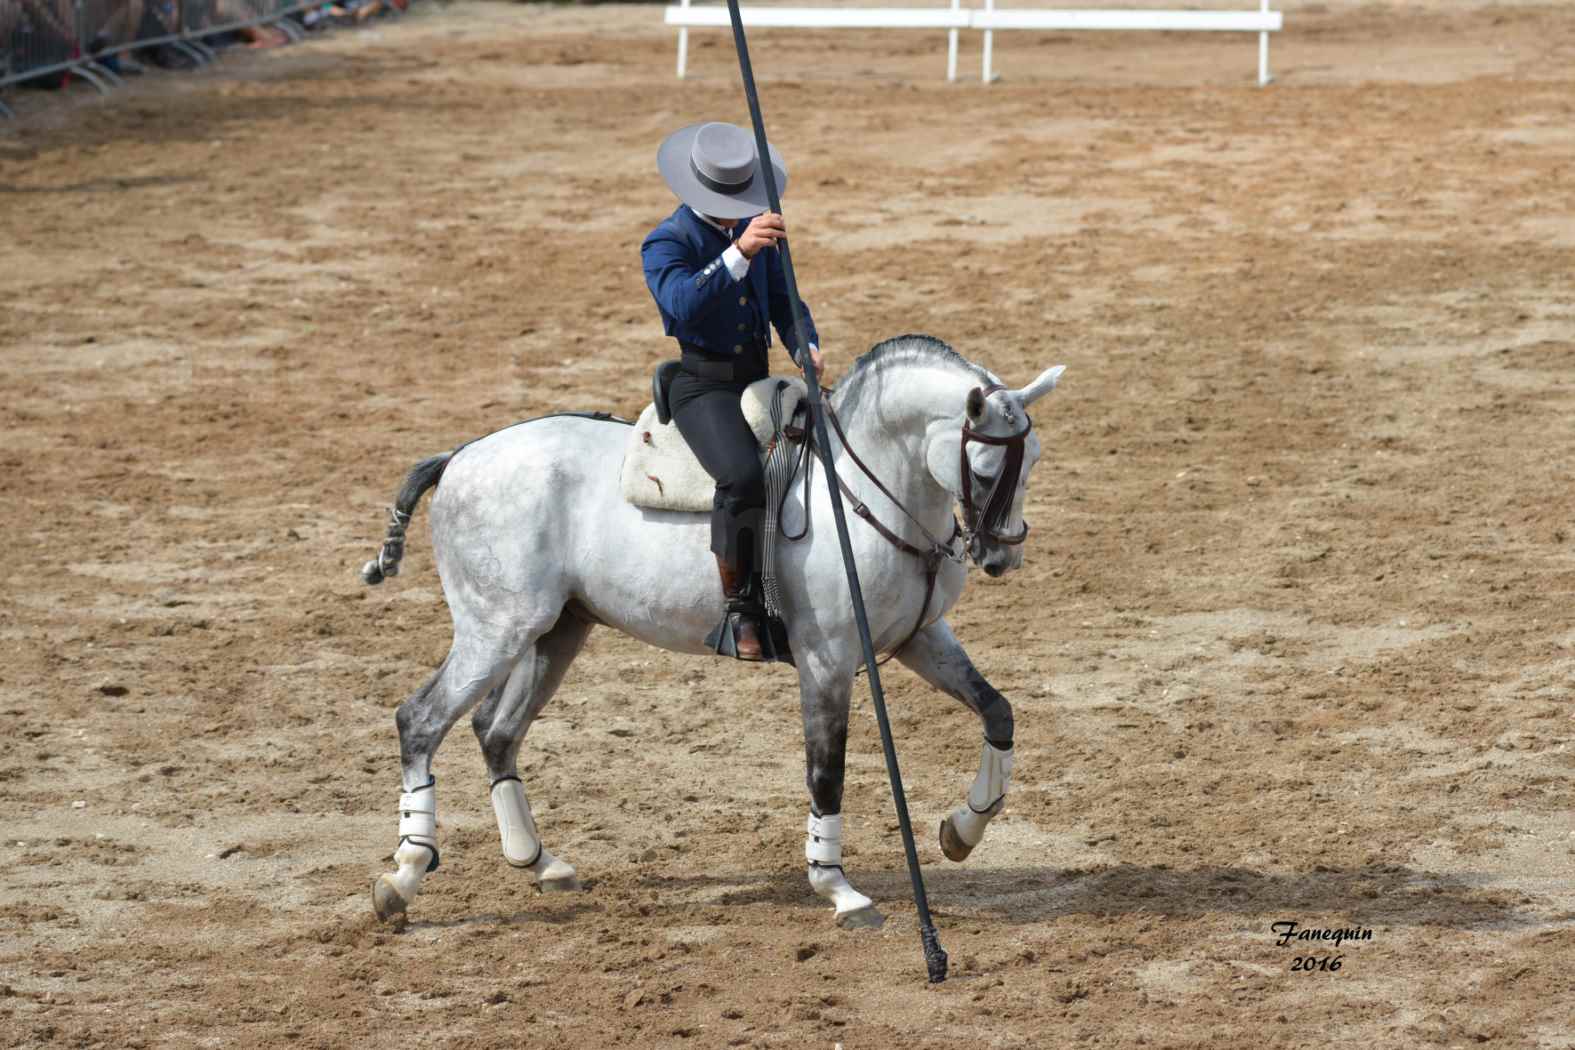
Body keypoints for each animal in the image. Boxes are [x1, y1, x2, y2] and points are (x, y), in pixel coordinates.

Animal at [362, 335, 1064, 925]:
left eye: (1033, 461)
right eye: (983, 471)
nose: (1002, 557)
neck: (864, 488)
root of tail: (460, 457)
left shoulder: (922, 637)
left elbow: (997, 711)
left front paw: (962, 831)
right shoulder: (829, 661)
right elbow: (826, 772)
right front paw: (838, 889)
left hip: (557, 630)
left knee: (496, 732)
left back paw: (540, 863)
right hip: (495, 629)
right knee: (420, 721)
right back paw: (403, 877)